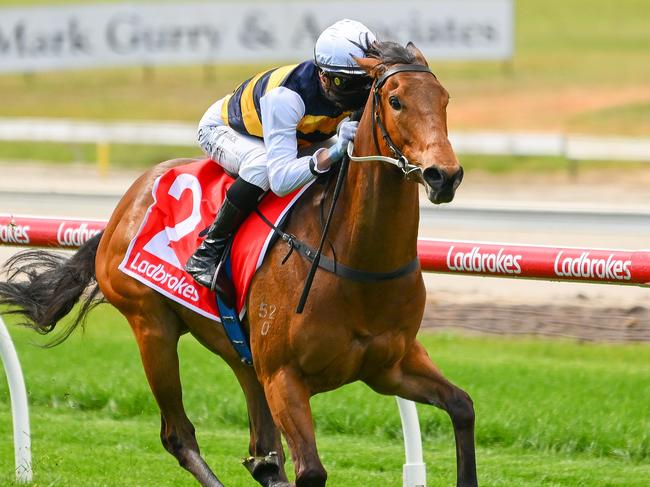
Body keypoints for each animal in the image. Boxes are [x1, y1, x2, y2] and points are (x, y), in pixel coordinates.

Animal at [0, 42, 476, 487]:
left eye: (444, 98)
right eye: (395, 101)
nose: (444, 175)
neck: (356, 260)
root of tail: (123, 206)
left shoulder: (390, 365)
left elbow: (462, 406)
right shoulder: (285, 377)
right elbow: (311, 471)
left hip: (240, 352)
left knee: (262, 450)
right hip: (152, 327)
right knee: (178, 435)